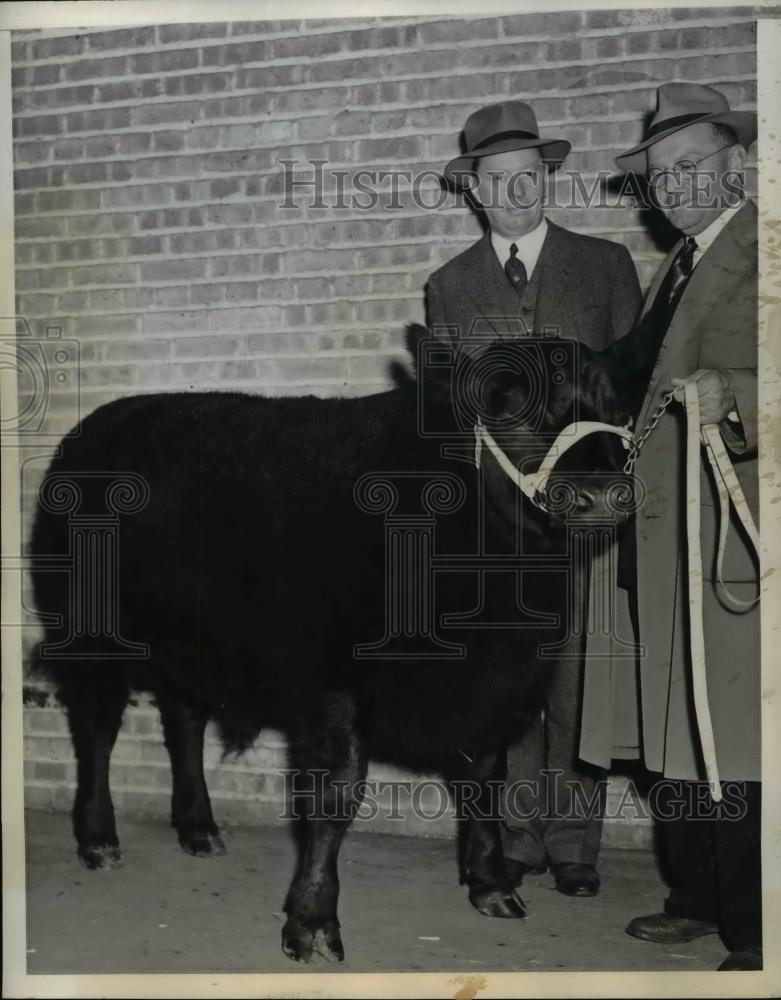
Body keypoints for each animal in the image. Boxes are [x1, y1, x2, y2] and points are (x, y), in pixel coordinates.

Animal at [29, 328, 640, 960]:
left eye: (621, 411)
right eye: (509, 409)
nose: (604, 495)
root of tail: (99, 423)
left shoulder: (500, 689)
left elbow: (486, 786)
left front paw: (492, 887)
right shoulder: (332, 685)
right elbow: (336, 796)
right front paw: (313, 922)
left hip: (190, 644)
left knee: (184, 725)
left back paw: (199, 829)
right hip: (90, 632)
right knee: (97, 730)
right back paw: (99, 839)